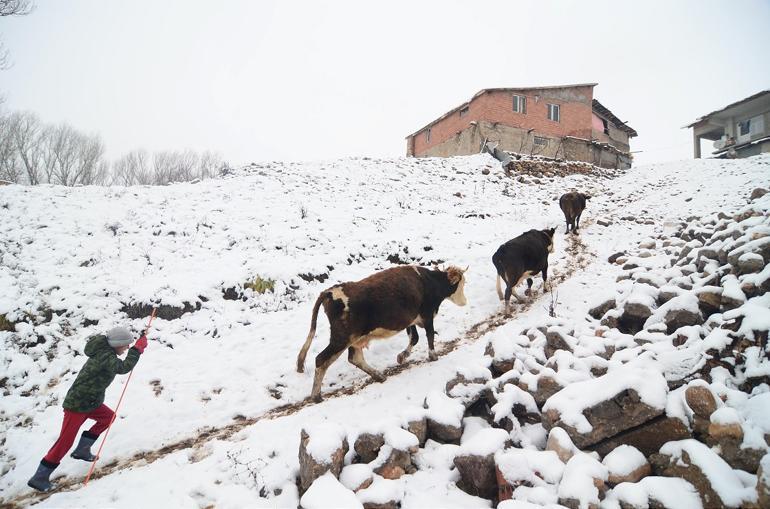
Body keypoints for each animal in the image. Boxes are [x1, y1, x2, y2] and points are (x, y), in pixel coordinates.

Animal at [294, 266, 464, 400]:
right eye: (461, 283)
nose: (464, 302)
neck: (430, 281)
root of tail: (329, 292)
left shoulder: (411, 320)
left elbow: (414, 338)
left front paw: (402, 356)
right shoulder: (427, 315)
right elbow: (429, 336)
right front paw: (433, 356)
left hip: (355, 338)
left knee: (355, 358)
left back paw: (379, 376)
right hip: (341, 338)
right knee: (321, 359)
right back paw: (316, 396)